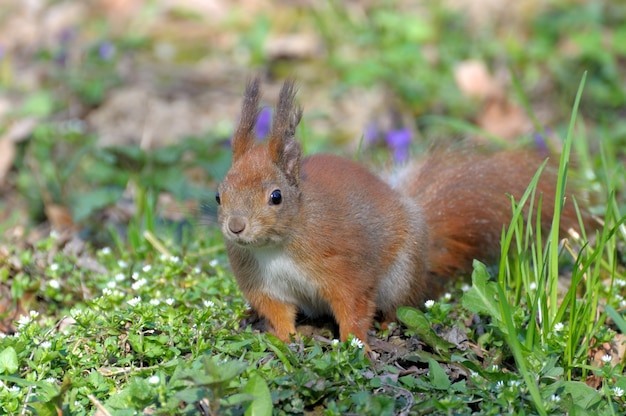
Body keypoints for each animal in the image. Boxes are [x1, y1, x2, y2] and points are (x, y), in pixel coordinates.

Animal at [216, 78, 584, 348]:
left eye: (276, 197)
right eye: (219, 195)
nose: (236, 227)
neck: (277, 246)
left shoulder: (345, 265)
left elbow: (354, 306)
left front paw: (354, 345)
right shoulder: (263, 284)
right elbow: (278, 313)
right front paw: (285, 339)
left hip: (401, 276)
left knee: (399, 305)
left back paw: (387, 326)